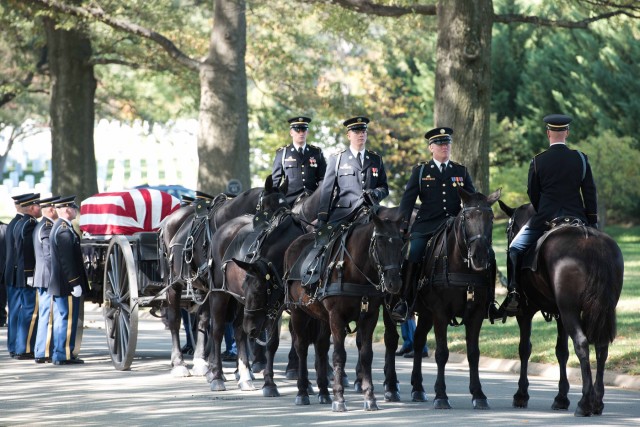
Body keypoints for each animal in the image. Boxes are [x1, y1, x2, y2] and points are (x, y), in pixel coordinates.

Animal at [284, 216, 404, 412]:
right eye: (380, 243)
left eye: (401, 244)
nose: (394, 283)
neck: (354, 271)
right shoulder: (336, 317)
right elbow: (339, 355)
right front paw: (339, 398)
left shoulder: (369, 317)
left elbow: (366, 355)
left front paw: (369, 397)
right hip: (298, 313)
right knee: (301, 347)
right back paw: (302, 391)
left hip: (322, 317)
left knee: (321, 346)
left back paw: (323, 392)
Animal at [408, 189, 502, 410]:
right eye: (467, 218)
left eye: (491, 218)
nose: (480, 257)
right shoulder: (440, 313)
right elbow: (442, 353)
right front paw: (441, 395)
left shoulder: (476, 314)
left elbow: (473, 353)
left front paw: (478, 394)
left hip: (425, 314)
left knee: (418, 341)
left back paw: (418, 388)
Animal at [498, 201, 624, 418]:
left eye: (508, 228)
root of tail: (590, 240)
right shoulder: (559, 315)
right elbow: (561, 352)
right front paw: (561, 397)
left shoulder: (526, 312)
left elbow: (524, 349)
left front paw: (521, 394)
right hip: (600, 310)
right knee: (601, 347)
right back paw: (597, 402)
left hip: (569, 311)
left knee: (582, 343)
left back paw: (585, 402)